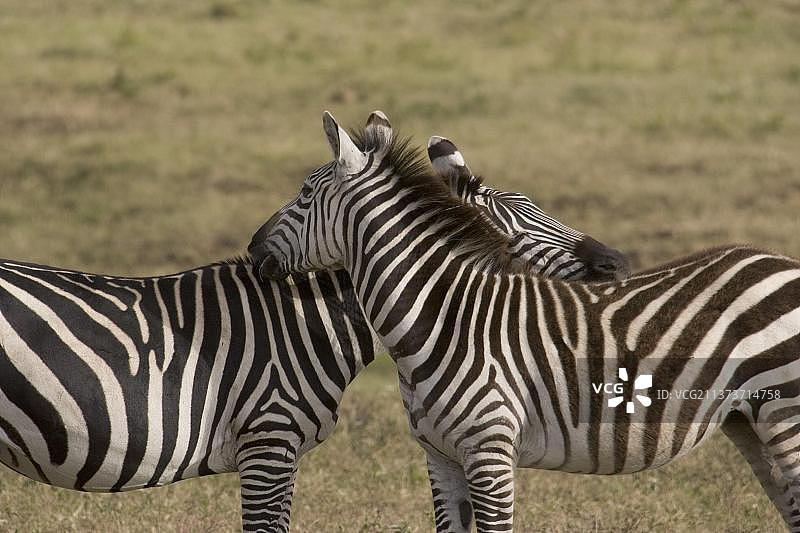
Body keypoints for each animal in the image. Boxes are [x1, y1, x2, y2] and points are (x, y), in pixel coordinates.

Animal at [253, 109, 800, 532]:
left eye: (304, 194)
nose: (253, 249)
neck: (444, 320)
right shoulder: (440, 457)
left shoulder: (490, 452)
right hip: (751, 422)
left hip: (786, 411)